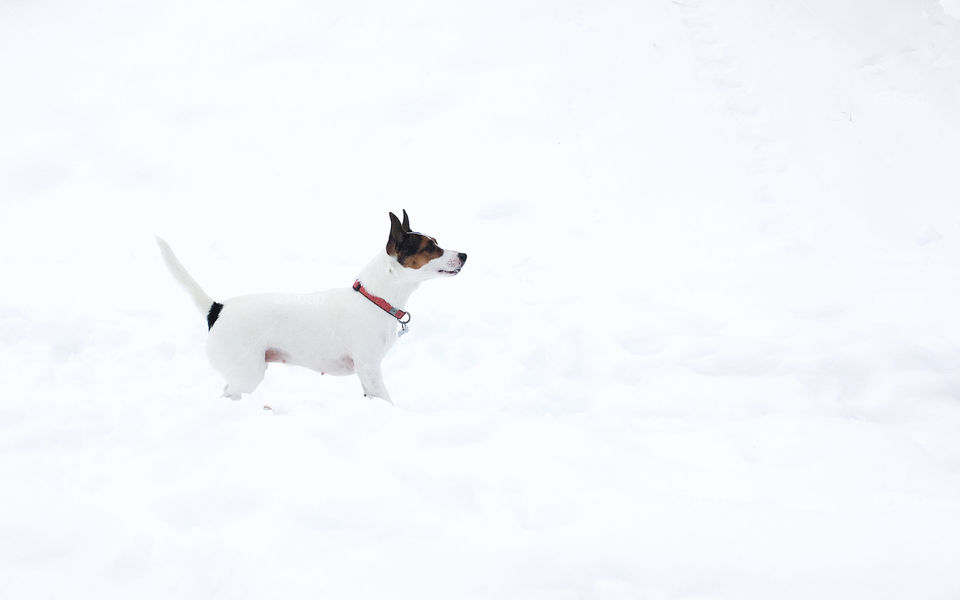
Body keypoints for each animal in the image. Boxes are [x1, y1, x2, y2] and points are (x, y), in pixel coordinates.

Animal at [157, 210, 464, 404]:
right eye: (430, 247)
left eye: (436, 241)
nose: (464, 254)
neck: (375, 298)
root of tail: (217, 308)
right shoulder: (370, 368)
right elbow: (387, 400)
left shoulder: (366, 373)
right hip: (247, 373)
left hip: (241, 373)